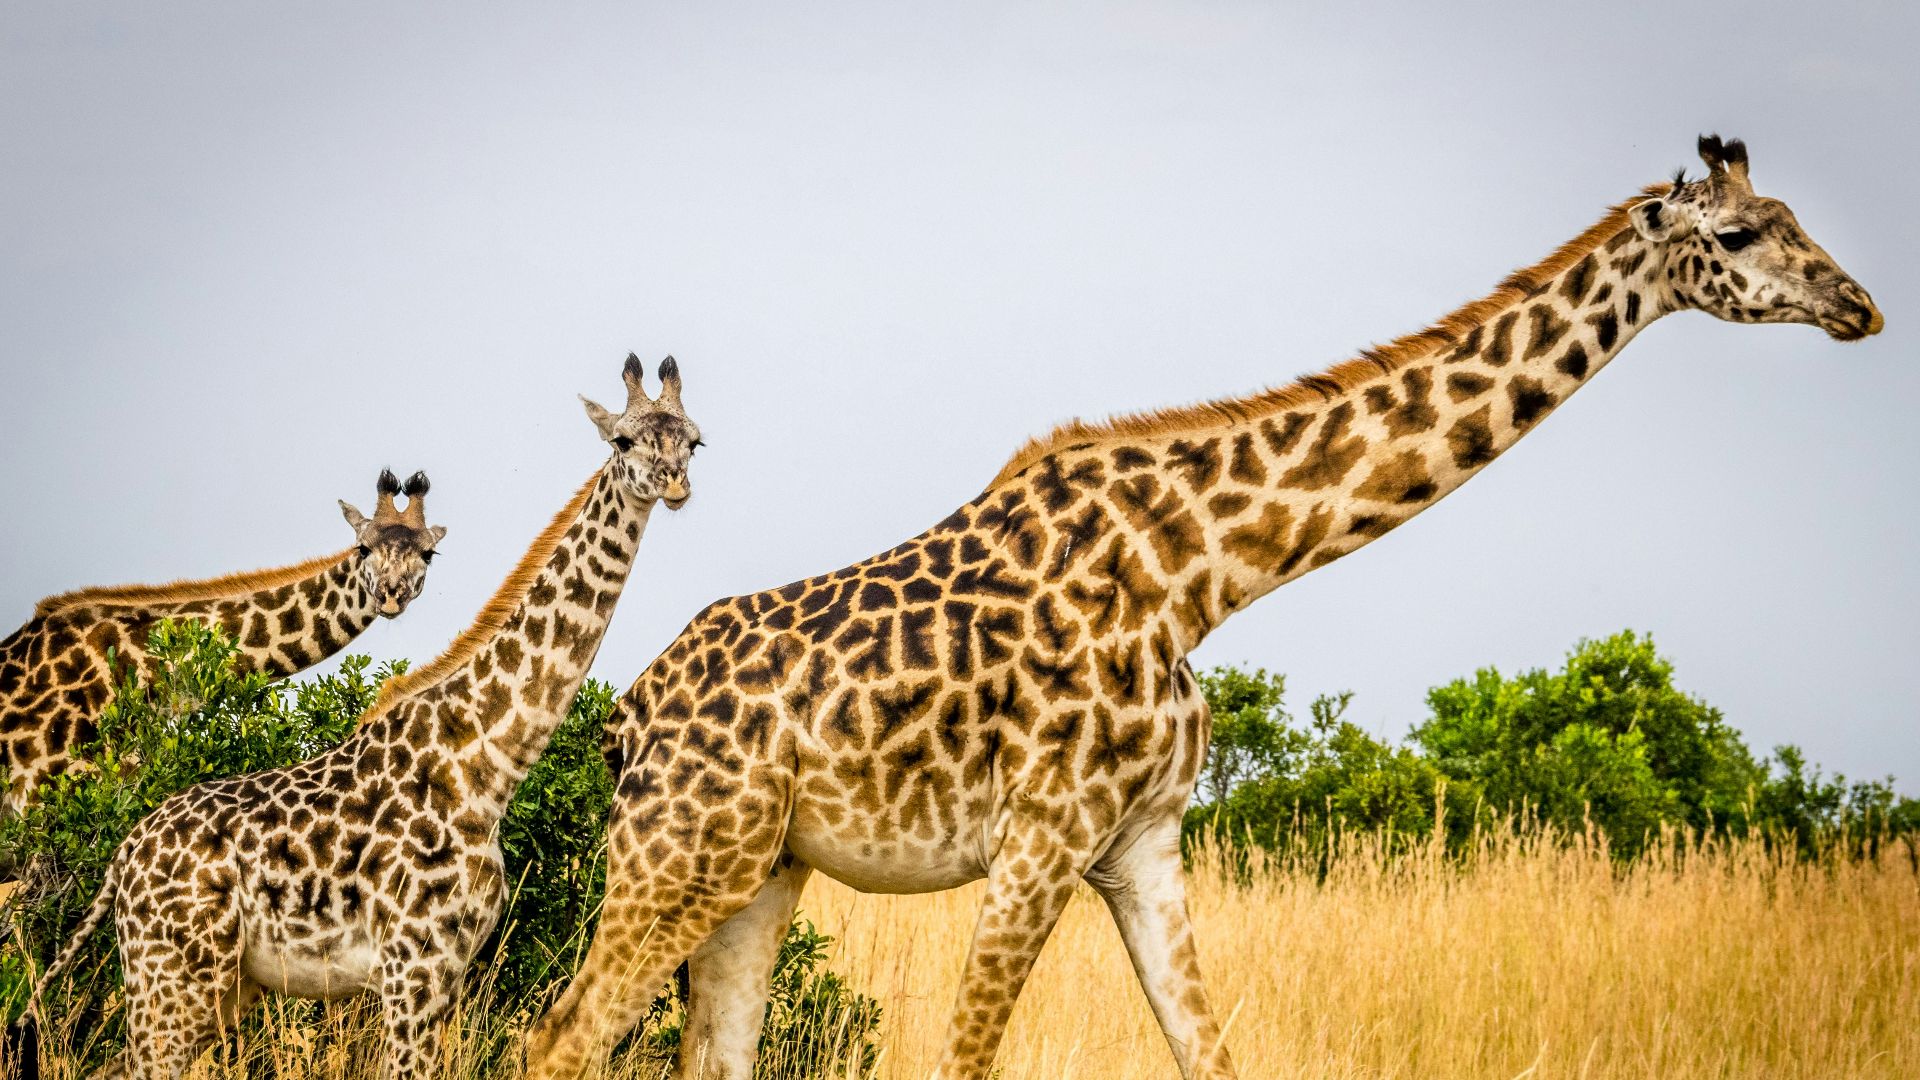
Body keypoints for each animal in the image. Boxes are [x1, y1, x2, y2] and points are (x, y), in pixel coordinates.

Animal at [523, 136, 1881, 1080]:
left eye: (1795, 219)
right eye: (1745, 232)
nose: (1859, 305)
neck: (1205, 575)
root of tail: (625, 718)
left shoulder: (1144, 848)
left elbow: (1211, 1052)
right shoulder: (1040, 841)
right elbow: (961, 1058)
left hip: (759, 871)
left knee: (704, 1049)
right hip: (675, 859)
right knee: (560, 1035)